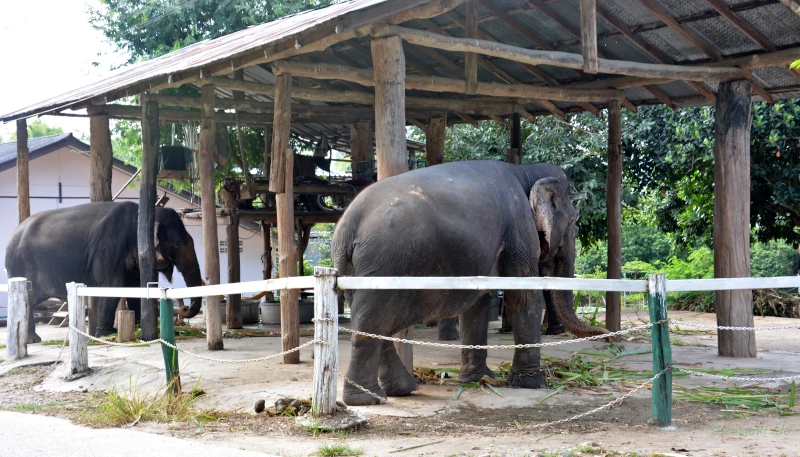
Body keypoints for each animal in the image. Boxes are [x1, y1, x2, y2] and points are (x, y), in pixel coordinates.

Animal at [332, 161, 608, 406]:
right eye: (572, 222)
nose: (604, 335)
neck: (526, 171)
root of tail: (349, 224)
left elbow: (478, 300)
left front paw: (478, 379)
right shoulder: (520, 229)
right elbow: (524, 296)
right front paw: (533, 383)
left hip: (357, 269)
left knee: (377, 326)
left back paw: (400, 390)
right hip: (385, 264)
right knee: (372, 324)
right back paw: (365, 399)